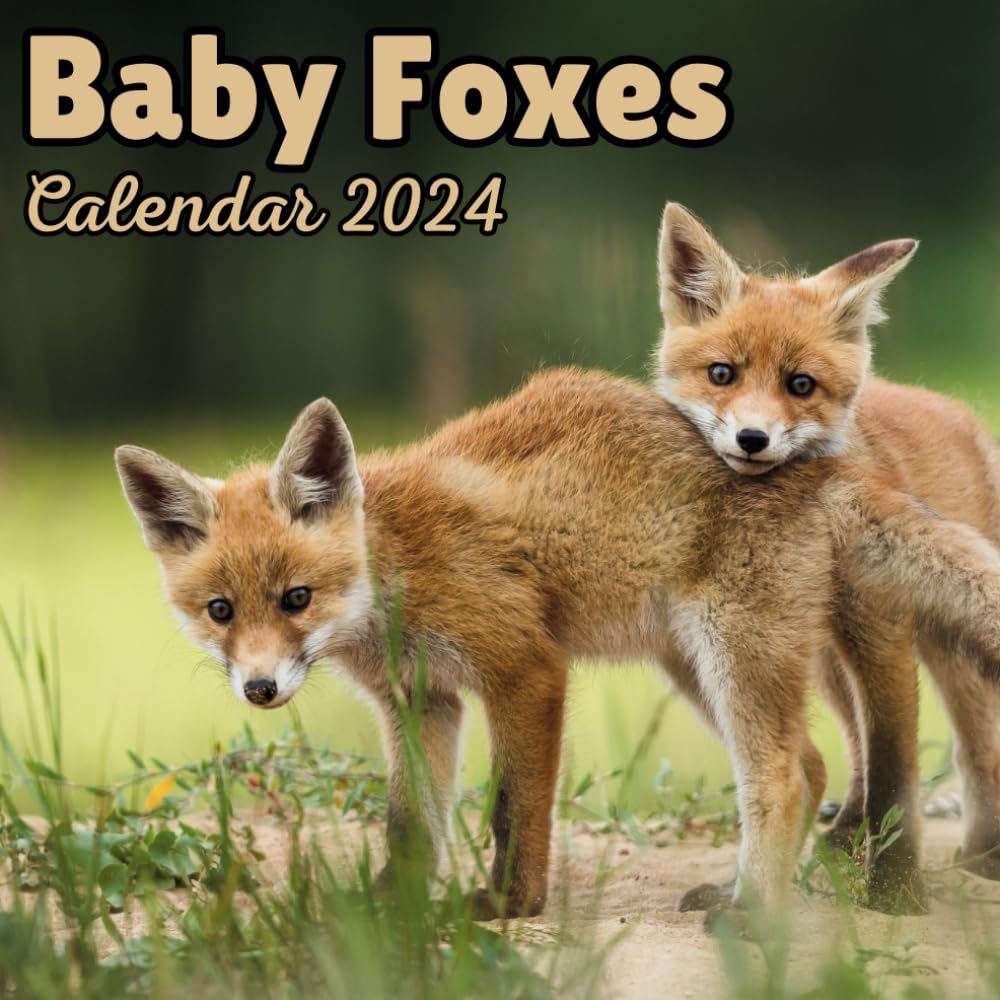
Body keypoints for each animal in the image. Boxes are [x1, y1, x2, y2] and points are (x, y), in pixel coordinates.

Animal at [115, 364, 1000, 924]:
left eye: (297, 599)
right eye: (220, 611)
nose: (260, 689)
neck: (394, 573)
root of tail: (818, 464)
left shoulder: (525, 668)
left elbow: (514, 809)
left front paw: (509, 907)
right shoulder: (422, 701)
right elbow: (411, 824)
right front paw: (388, 908)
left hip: (731, 653)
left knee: (782, 777)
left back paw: (756, 913)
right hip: (692, 665)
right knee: (812, 765)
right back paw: (744, 892)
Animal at [654, 202, 1000, 911]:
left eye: (801, 385)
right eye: (722, 374)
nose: (752, 438)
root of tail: (956, 409)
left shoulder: (882, 629)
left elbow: (898, 769)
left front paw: (897, 893)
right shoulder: (833, 636)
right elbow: (873, 761)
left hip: (945, 643)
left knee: (976, 749)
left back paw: (984, 855)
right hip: (824, 656)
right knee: (856, 747)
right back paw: (844, 836)